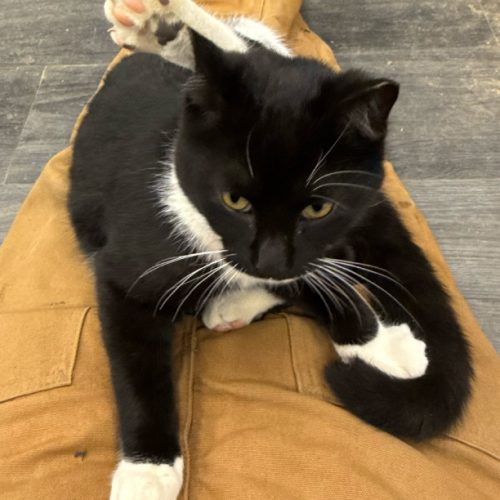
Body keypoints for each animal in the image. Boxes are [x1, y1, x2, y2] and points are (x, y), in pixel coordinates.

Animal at [68, 1, 472, 498]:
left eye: (318, 207)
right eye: (234, 201)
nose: (270, 260)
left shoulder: (309, 243)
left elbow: (317, 274)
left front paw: (377, 341)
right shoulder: (128, 267)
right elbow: (137, 366)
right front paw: (149, 471)